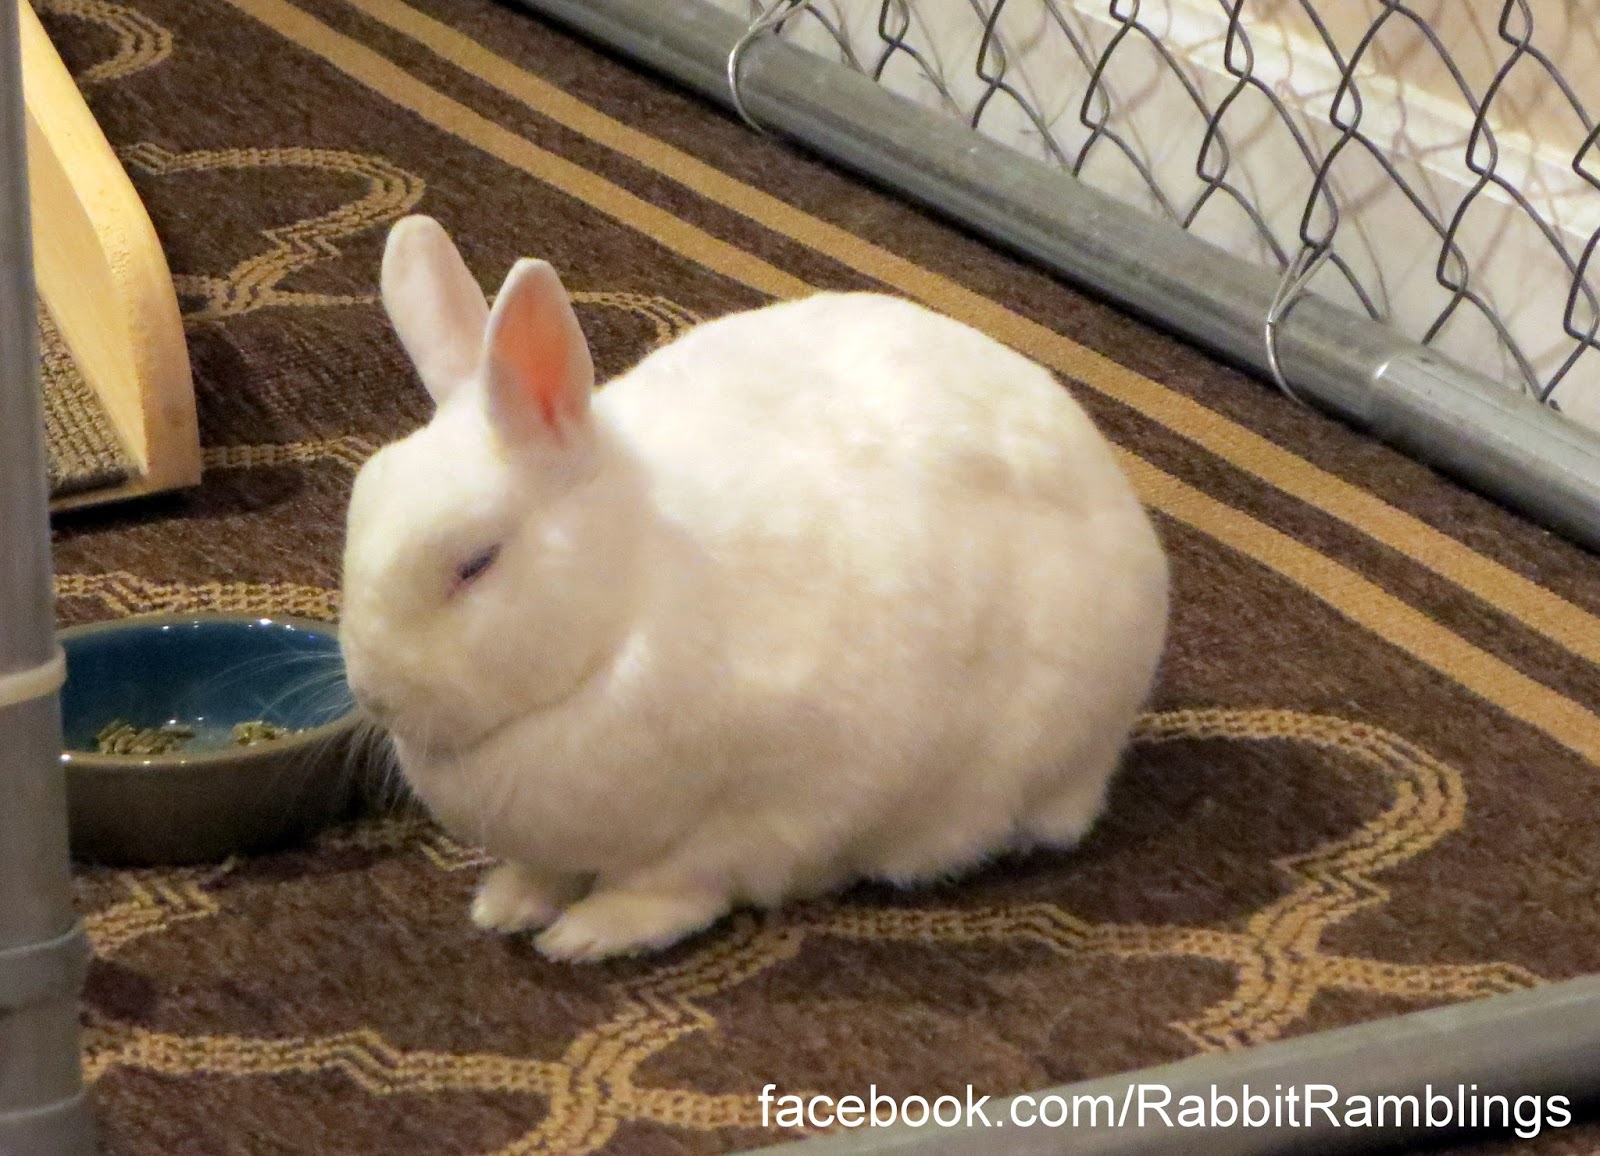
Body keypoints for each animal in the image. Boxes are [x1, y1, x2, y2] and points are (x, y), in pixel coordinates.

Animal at [339, 214, 1170, 962]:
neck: (626, 609)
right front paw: (506, 904)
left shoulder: (765, 815)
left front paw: (589, 935)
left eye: (476, 564)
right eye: (359, 504)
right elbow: (544, 872)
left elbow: (678, 887)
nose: (376, 695)